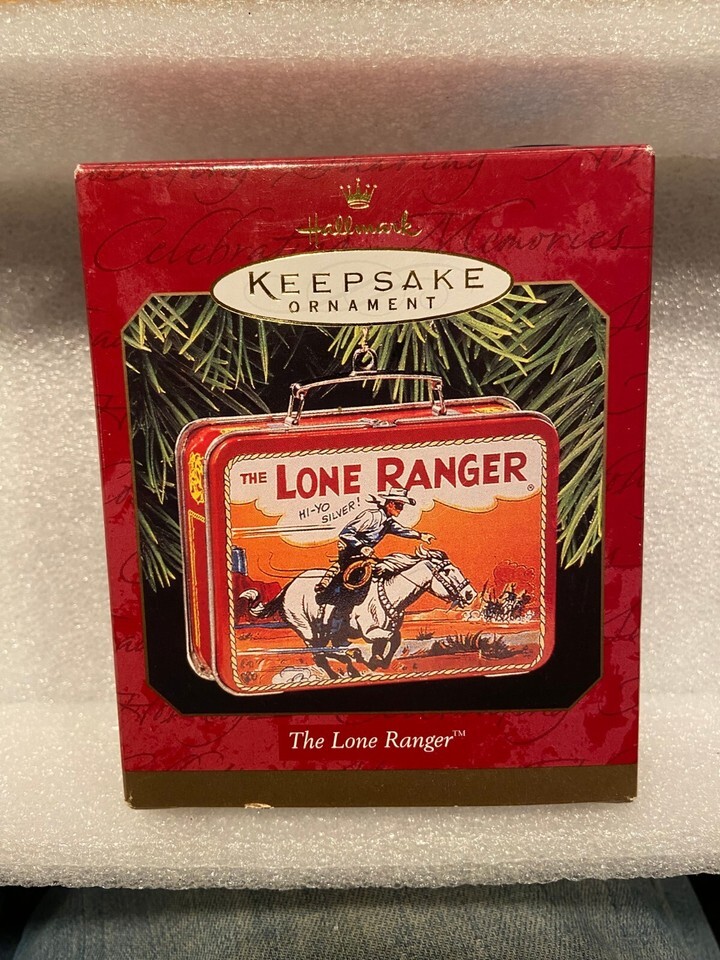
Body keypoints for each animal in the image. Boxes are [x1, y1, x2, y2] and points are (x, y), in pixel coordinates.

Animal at [240, 547, 477, 680]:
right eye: (447, 571)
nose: (470, 594)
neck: (390, 593)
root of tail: (288, 588)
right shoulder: (370, 632)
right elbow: (389, 638)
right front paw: (371, 659)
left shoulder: (383, 630)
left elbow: (394, 639)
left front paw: (376, 661)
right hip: (308, 632)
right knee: (320, 654)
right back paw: (345, 667)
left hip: (329, 633)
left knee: (331, 650)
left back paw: (350, 665)